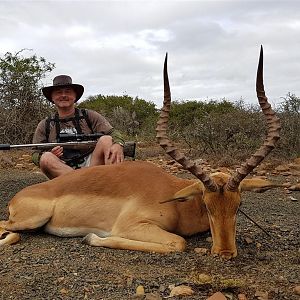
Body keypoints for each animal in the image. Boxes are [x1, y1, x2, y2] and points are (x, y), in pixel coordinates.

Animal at [0, 47, 280, 258]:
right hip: (30, 220)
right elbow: (178, 243)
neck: (176, 200)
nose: (225, 253)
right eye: (208, 205)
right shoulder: (132, 225)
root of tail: (18, 197)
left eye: (239, 205)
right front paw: (91, 237)